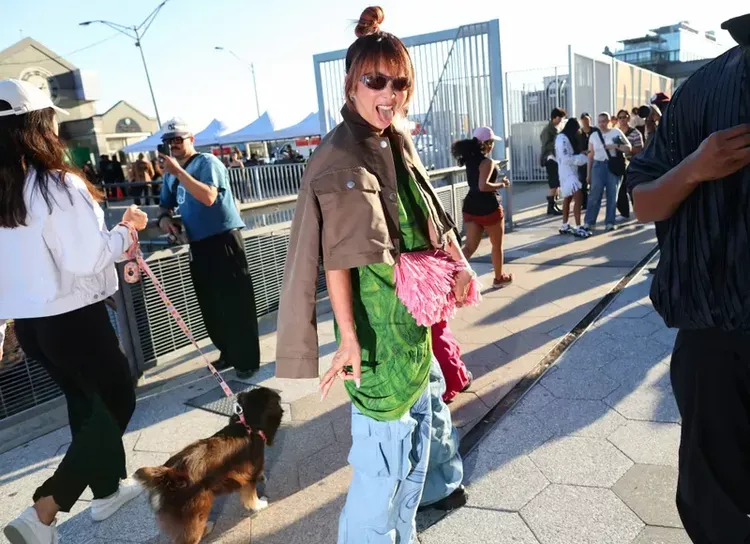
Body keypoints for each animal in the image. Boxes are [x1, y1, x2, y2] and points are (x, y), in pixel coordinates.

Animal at [135, 387, 283, 544]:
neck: (247, 424)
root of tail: (167, 474)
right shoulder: (248, 478)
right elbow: (251, 498)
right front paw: (260, 504)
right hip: (196, 511)